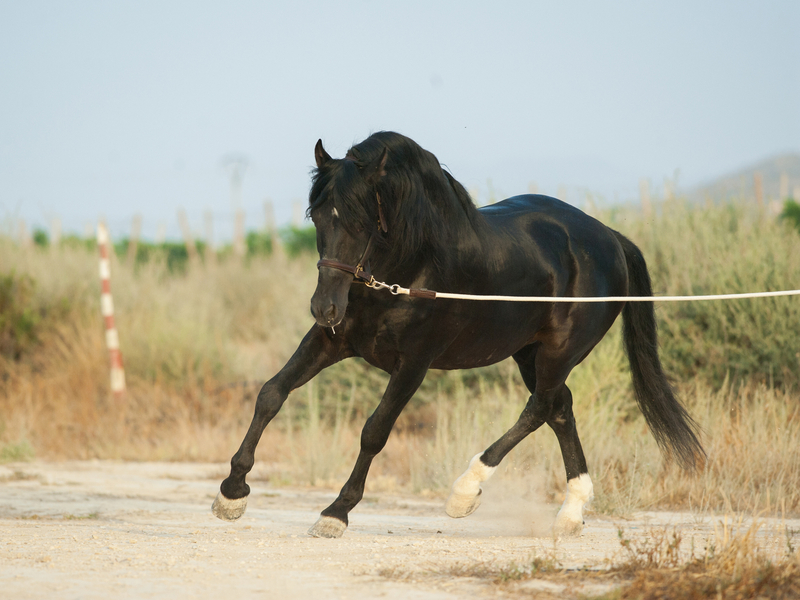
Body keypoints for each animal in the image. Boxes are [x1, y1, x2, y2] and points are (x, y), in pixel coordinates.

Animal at [212, 131, 704, 538]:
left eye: (359, 221)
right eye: (316, 216)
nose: (325, 307)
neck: (409, 265)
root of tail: (610, 239)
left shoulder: (413, 364)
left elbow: (375, 431)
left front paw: (336, 513)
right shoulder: (331, 342)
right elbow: (271, 393)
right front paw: (231, 492)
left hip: (559, 352)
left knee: (539, 407)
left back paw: (465, 492)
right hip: (529, 353)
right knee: (560, 409)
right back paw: (570, 514)